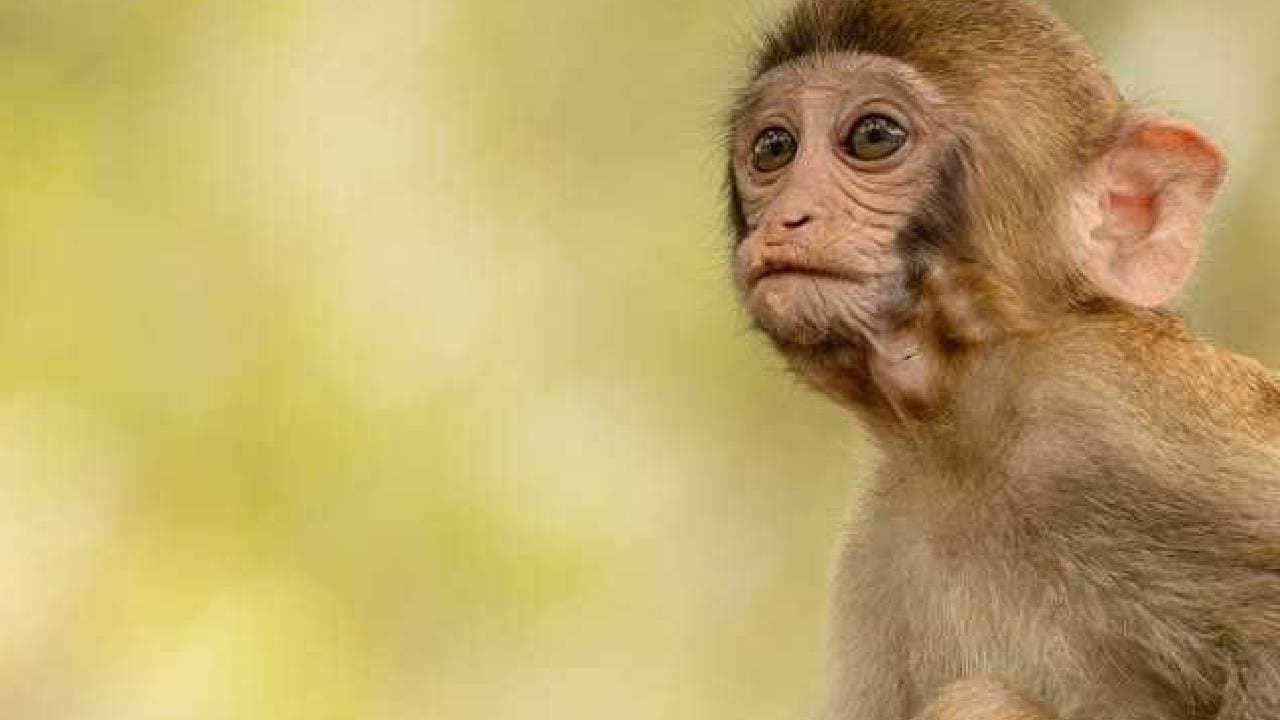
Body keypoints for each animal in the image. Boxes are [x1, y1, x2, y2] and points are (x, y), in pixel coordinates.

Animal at [723, 1, 1280, 719]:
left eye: (873, 137)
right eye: (773, 149)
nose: (789, 216)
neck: (969, 434)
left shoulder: (1112, 408)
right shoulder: (877, 546)